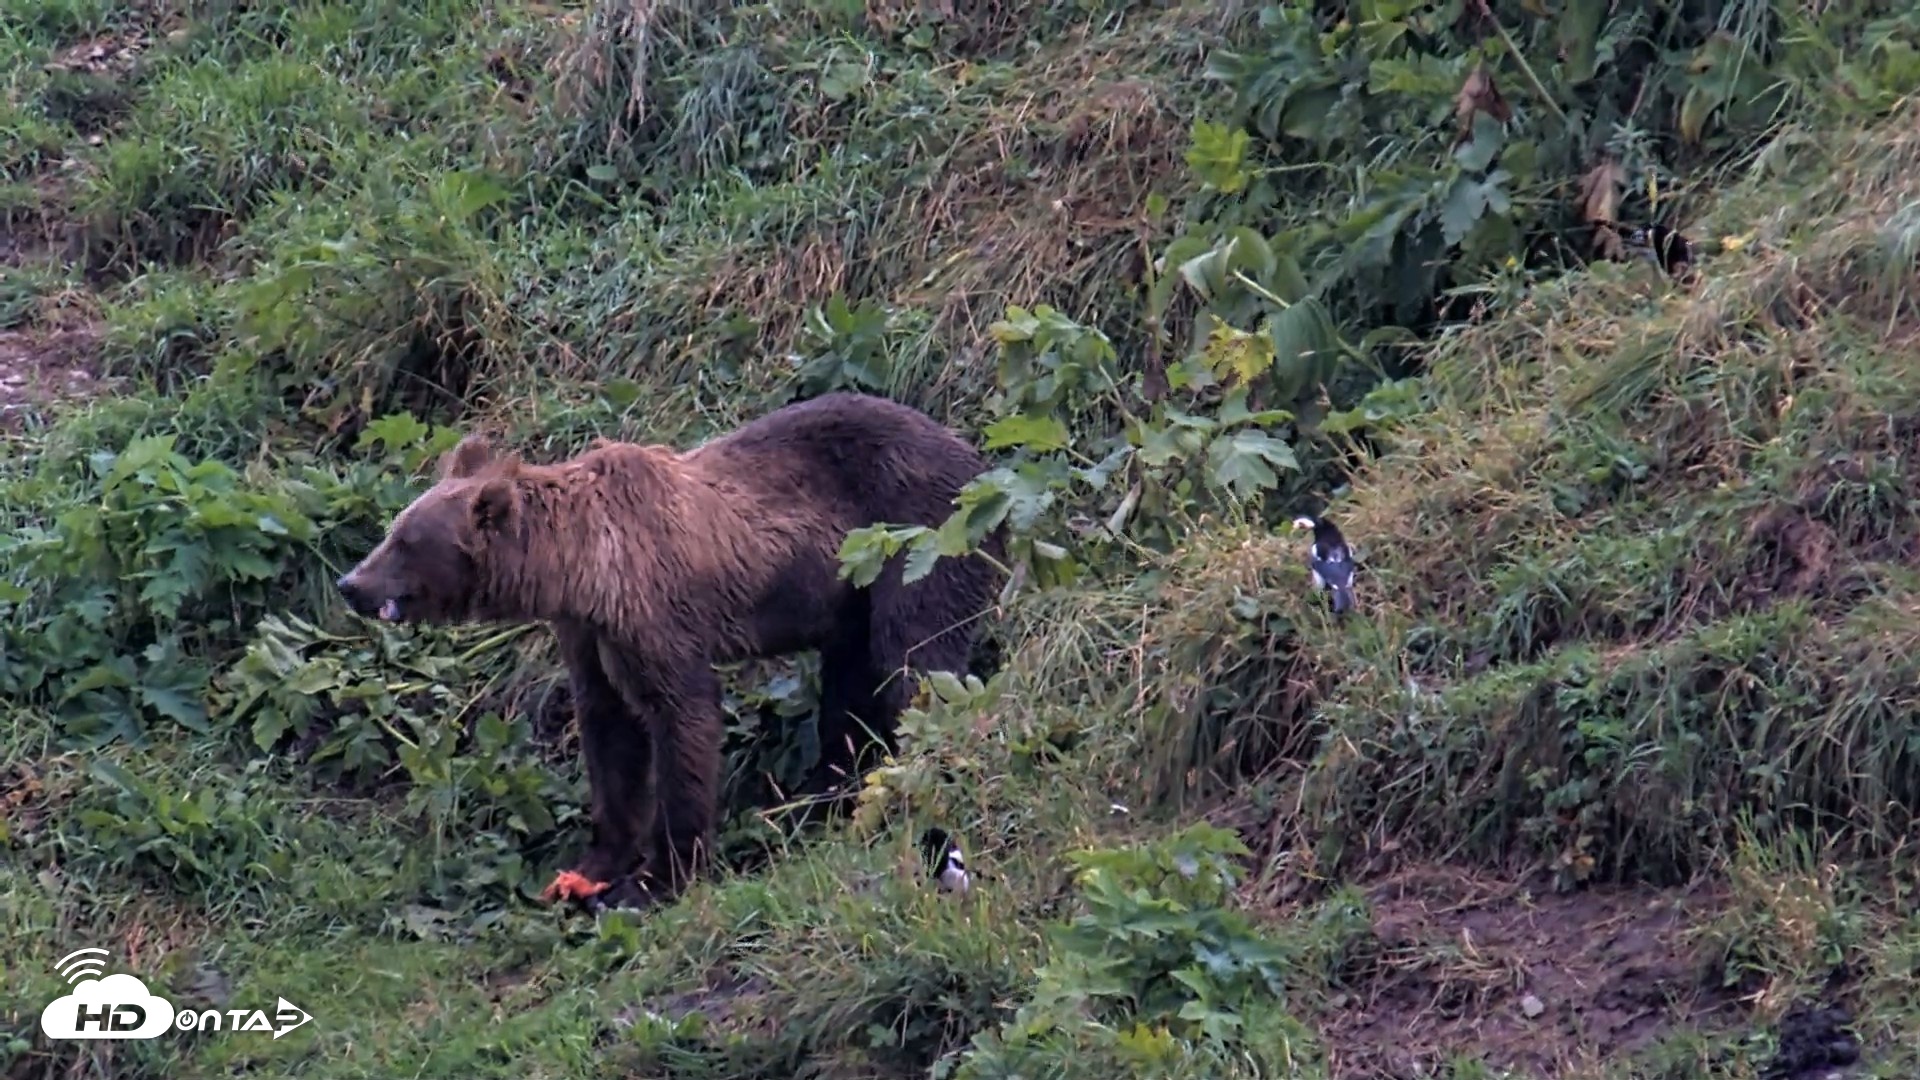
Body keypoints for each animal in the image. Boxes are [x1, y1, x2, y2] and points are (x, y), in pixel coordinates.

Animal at [334, 391, 1007, 909]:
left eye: (404, 542)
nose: (350, 584)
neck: (580, 567)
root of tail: (983, 461)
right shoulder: (587, 631)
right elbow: (608, 729)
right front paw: (594, 862)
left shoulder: (653, 611)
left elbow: (681, 716)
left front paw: (657, 876)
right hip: (852, 590)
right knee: (849, 686)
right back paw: (817, 800)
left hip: (916, 536)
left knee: (914, 662)